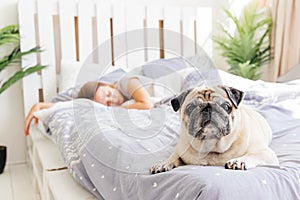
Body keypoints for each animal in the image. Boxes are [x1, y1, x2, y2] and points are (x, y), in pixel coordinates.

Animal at [150, 85, 278, 173]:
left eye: (226, 106)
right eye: (190, 108)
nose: (207, 108)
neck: (211, 146)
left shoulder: (265, 153)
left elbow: (253, 155)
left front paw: (238, 161)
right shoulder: (180, 149)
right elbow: (174, 155)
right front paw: (164, 163)